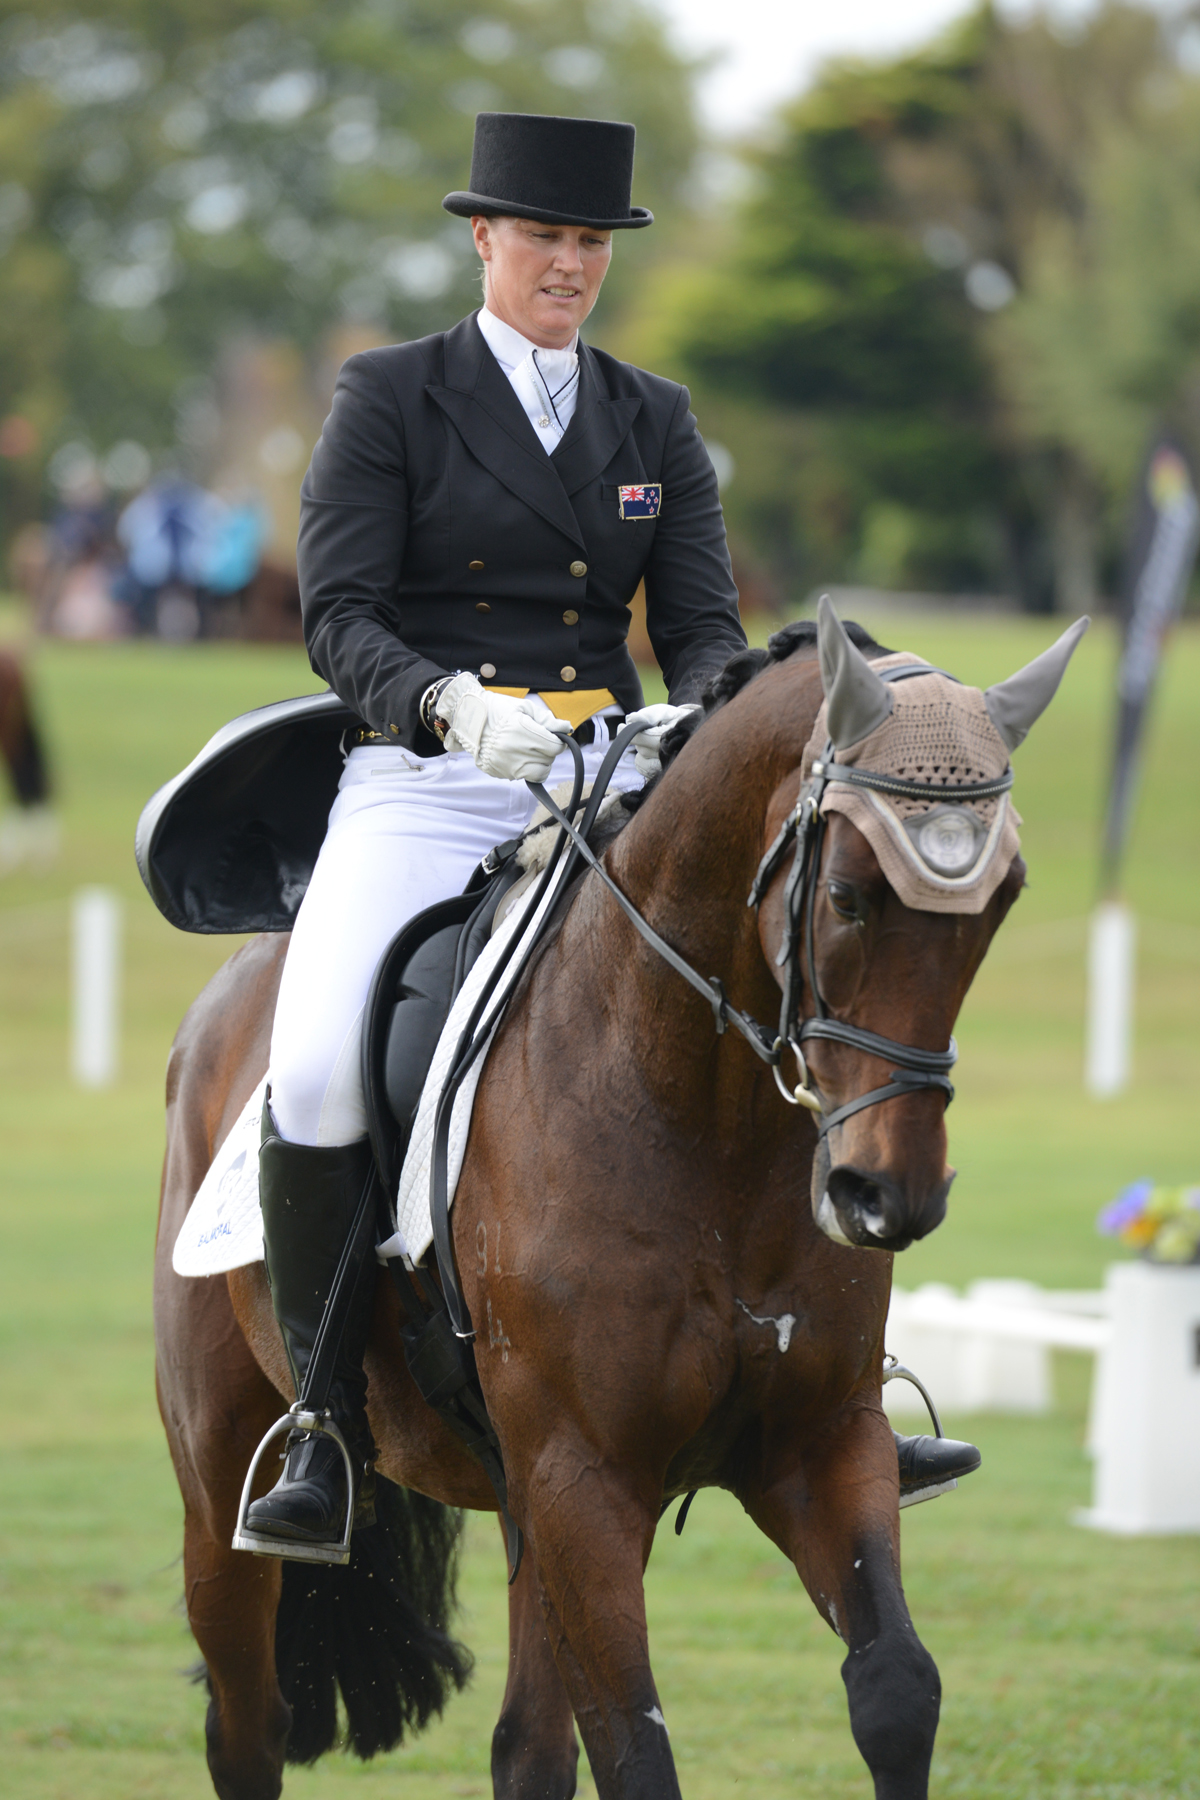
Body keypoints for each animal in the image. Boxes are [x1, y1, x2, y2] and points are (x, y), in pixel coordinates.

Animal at [154, 608, 1080, 1800]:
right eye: (847, 896)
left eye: (1001, 900)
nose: (887, 1193)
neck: (700, 1119)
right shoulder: (584, 1486)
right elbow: (638, 1751)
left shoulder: (818, 1446)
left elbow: (897, 1691)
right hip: (226, 1471)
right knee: (247, 1724)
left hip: (522, 1508)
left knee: (527, 1750)